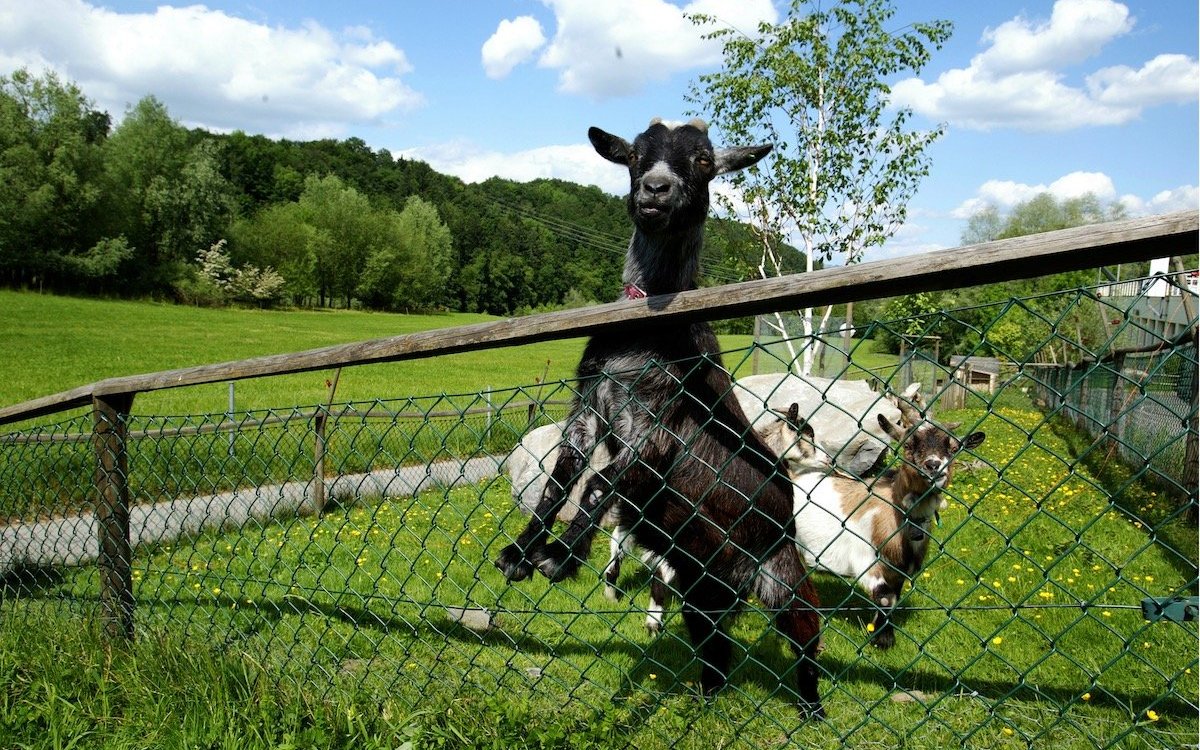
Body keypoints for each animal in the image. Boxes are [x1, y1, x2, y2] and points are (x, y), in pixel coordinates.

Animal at [496, 117, 825, 715]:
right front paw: (519, 552)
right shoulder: (589, 407)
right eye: (634, 156)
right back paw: (706, 698)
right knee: (715, 646)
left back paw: (811, 707)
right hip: (700, 588)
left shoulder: (656, 427)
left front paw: (560, 558)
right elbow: (561, 479)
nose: (655, 190)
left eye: (704, 161)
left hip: (782, 573)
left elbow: (599, 483)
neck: (644, 331)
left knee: (805, 636)